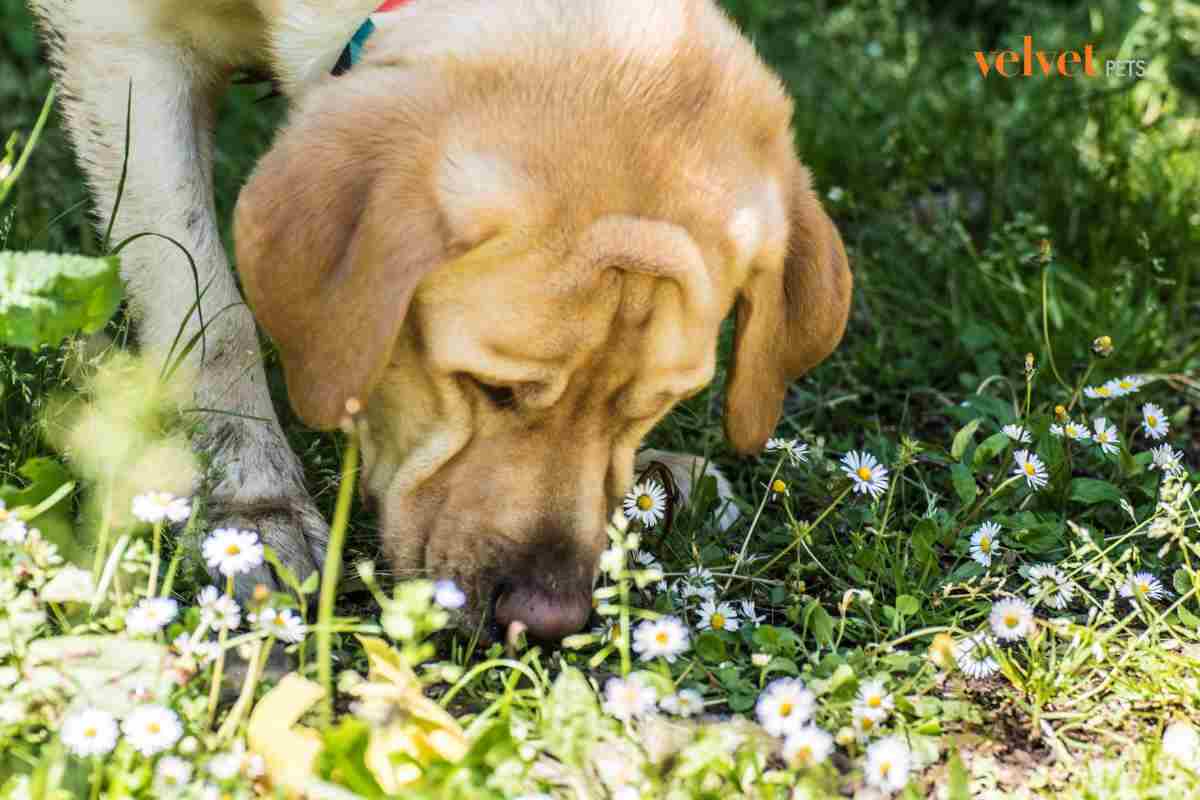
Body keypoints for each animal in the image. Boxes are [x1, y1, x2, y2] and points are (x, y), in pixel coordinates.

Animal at [30, 0, 854, 638]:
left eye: (657, 406)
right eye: (491, 388)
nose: (547, 621)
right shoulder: (123, 46)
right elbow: (206, 303)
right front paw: (250, 508)